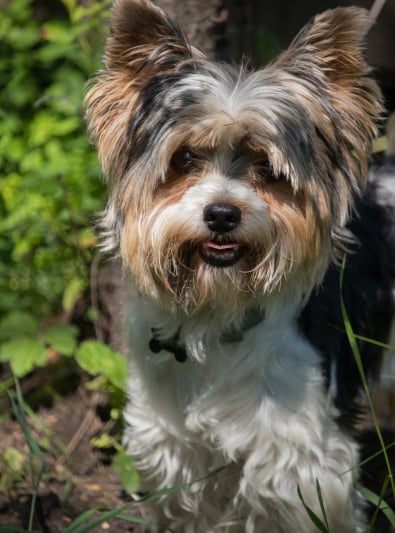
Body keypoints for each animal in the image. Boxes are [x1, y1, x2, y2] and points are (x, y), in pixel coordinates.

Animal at [85, 2, 394, 528]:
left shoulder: (298, 460)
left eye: (269, 169)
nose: (223, 214)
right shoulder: (173, 444)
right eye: (184, 158)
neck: (217, 312)